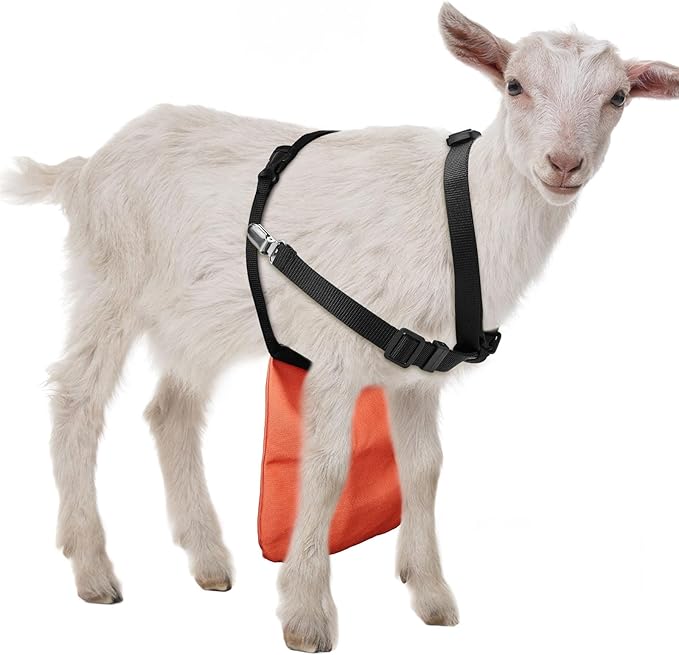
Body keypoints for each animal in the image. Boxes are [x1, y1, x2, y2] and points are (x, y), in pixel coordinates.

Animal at [2, 3, 678, 652]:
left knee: (171, 410)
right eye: (514, 85)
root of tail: (83, 168)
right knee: (77, 399)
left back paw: (208, 559)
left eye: (618, 97)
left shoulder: (417, 375)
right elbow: (327, 468)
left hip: (195, 319)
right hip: (108, 282)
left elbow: (424, 467)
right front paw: (306, 615)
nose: (564, 163)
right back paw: (93, 568)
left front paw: (430, 593)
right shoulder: (334, 355)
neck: (457, 216)